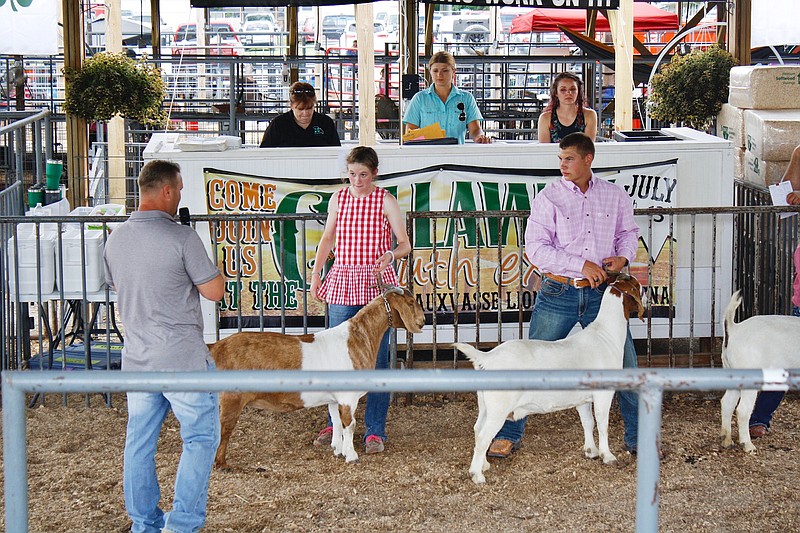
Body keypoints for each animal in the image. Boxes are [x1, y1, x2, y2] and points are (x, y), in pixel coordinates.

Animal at [211, 286, 424, 470]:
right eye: (411, 302)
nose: (422, 320)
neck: (357, 338)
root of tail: (217, 346)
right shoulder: (348, 398)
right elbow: (350, 425)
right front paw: (352, 456)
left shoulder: (334, 398)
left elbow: (337, 422)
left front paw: (338, 449)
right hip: (231, 399)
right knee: (223, 430)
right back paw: (221, 463)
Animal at [456, 272, 644, 484]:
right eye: (636, 284)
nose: (644, 288)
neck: (605, 334)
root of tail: (488, 357)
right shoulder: (603, 394)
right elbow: (603, 424)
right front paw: (608, 456)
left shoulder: (583, 399)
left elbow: (588, 422)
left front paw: (591, 451)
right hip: (499, 407)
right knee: (483, 437)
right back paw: (477, 475)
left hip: (486, 404)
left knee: (477, 430)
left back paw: (484, 465)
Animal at [720, 290, 800, 454]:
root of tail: (735, 328)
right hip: (749, 374)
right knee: (743, 410)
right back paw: (748, 445)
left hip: (733, 374)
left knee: (727, 402)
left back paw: (727, 440)